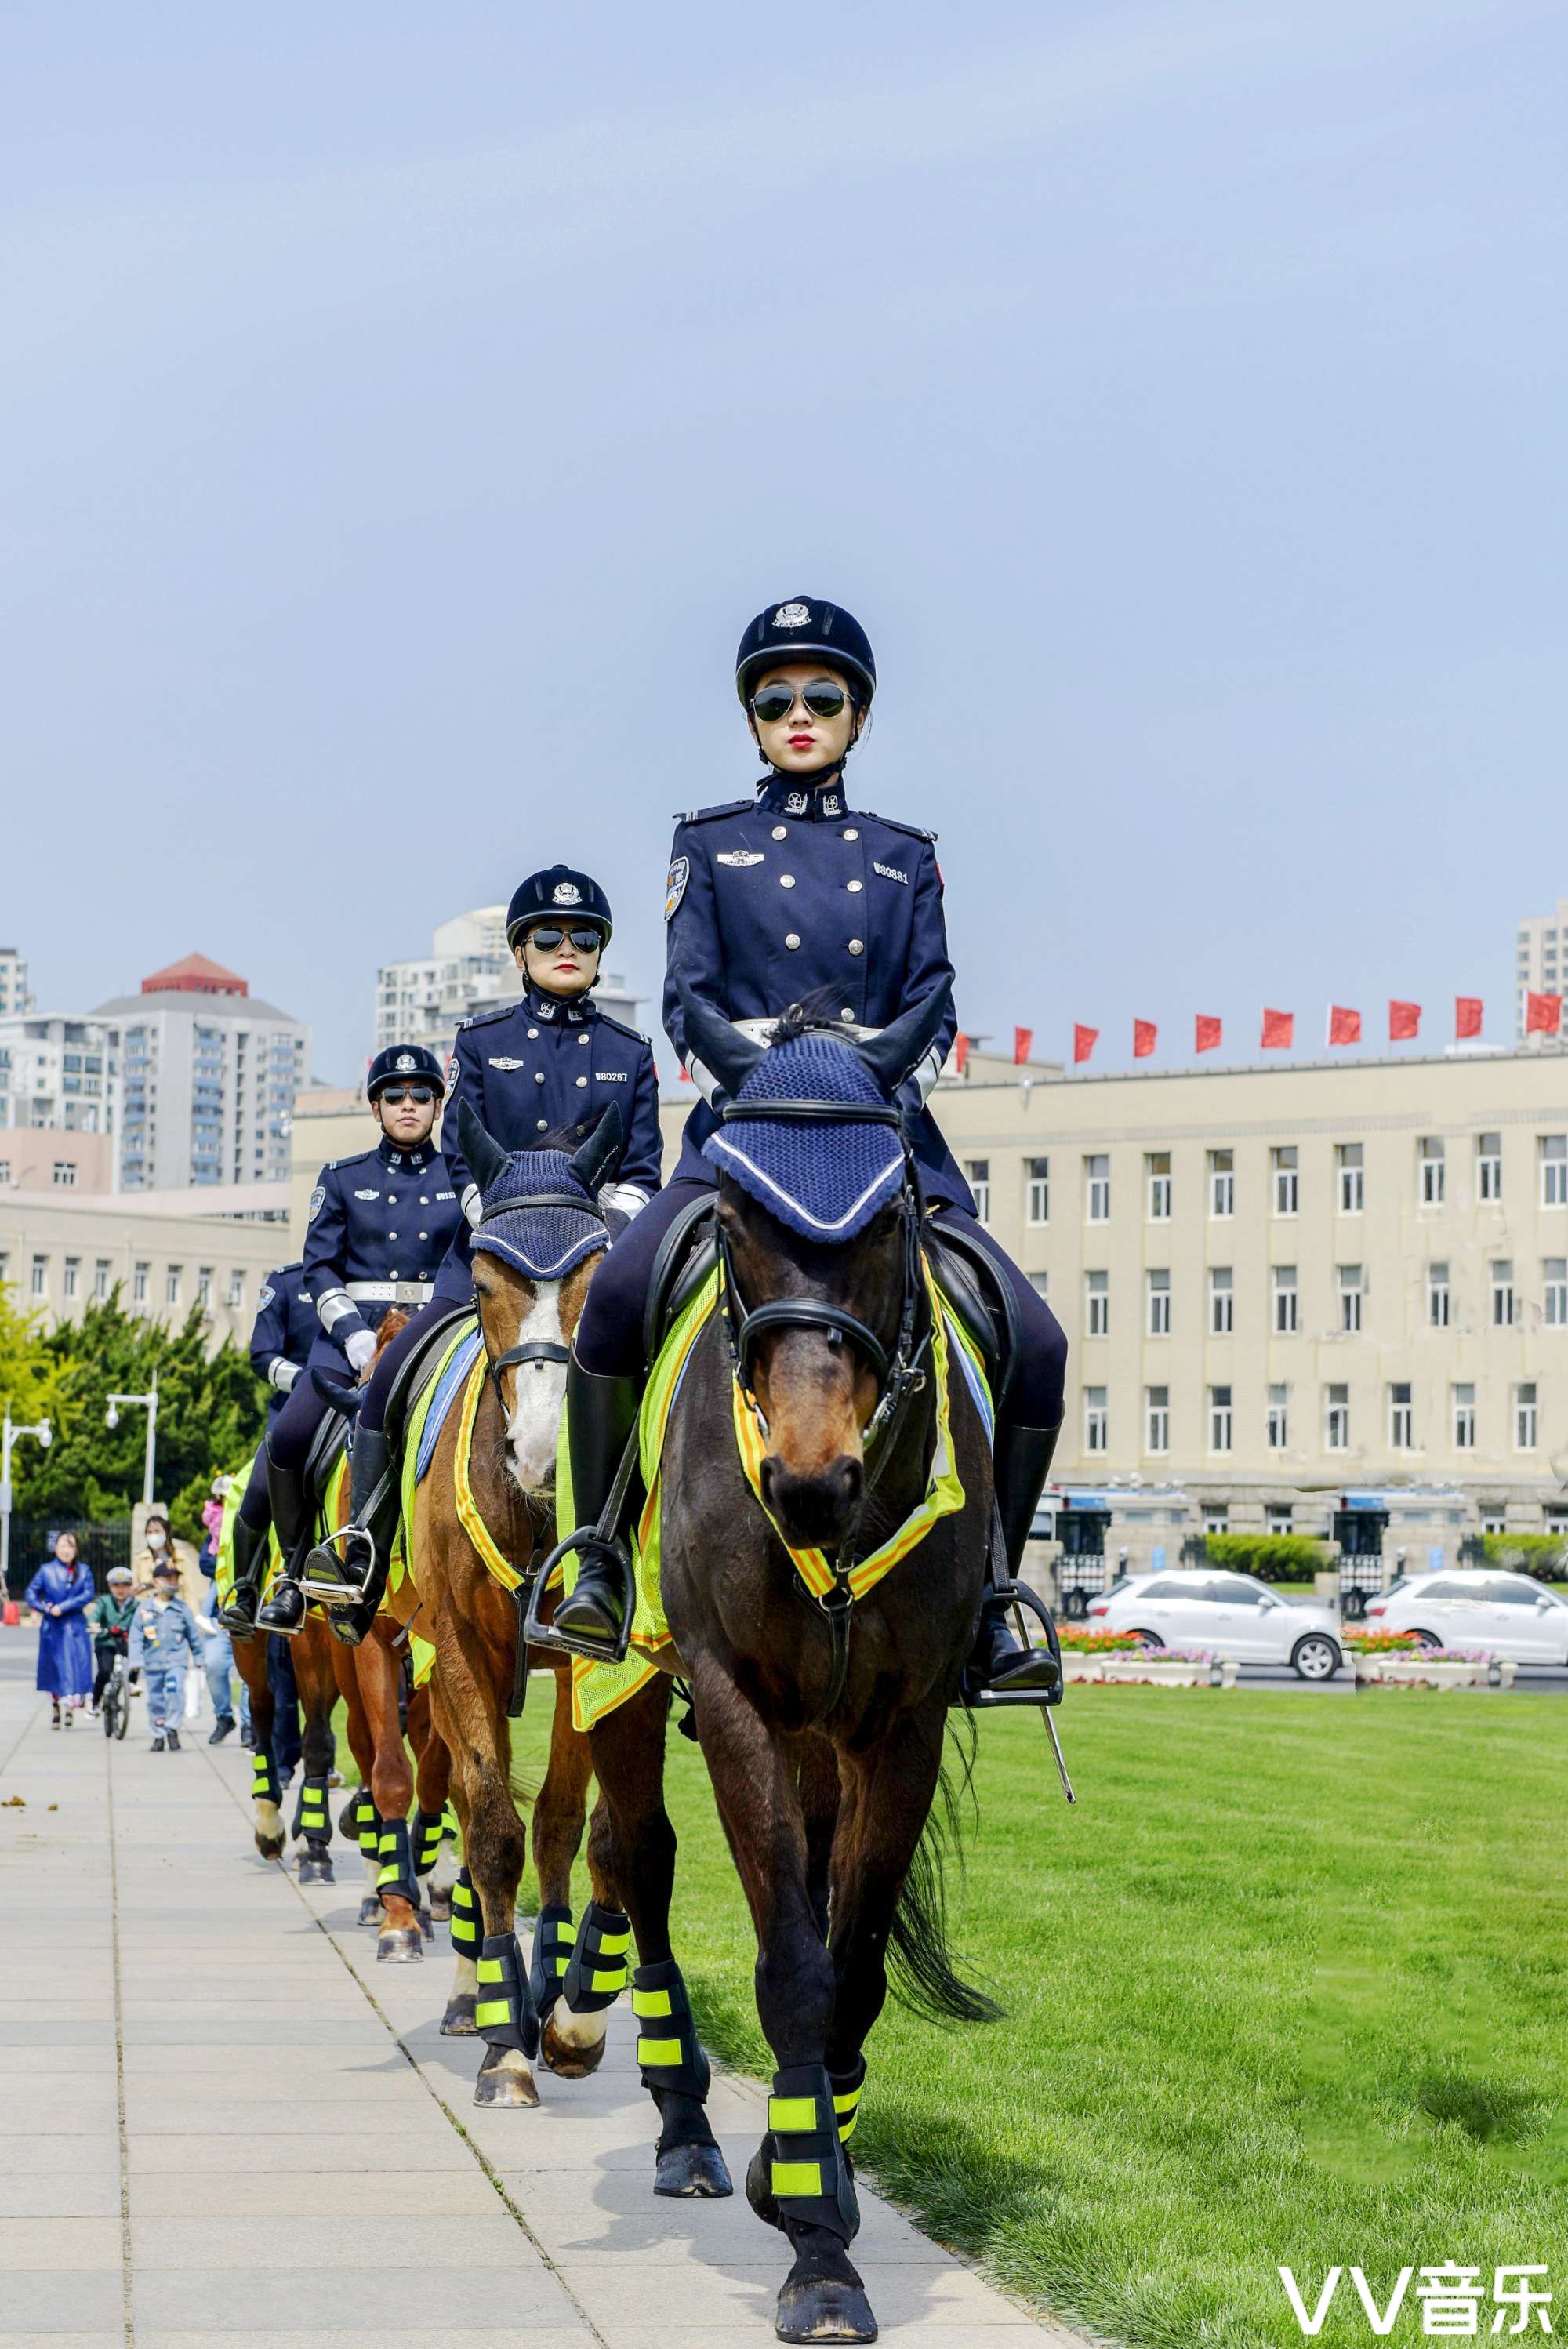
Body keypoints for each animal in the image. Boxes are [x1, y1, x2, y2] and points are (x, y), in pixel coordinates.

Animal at [582, 982, 1000, 2340]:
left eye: (892, 1219)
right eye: (729, 1220)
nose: (812, 1483)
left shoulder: (901, 1724)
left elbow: (849, 1967)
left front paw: (808, 2175)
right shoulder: (737, 1702)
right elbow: (795, 1971)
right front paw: (817, 2242)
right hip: (621, 1680)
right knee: (636, 1860)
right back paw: (682, 2128)